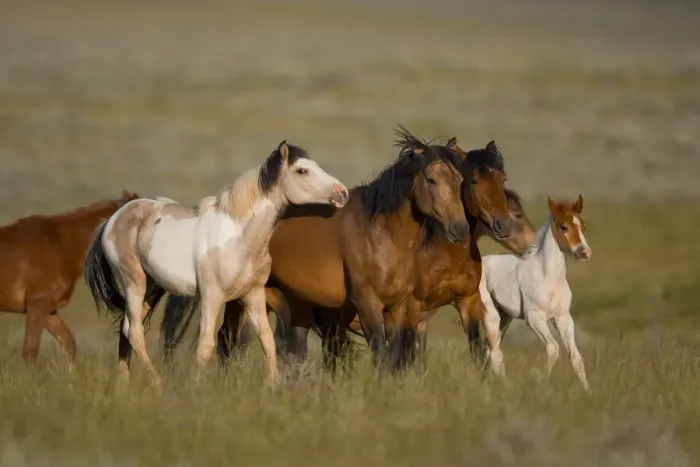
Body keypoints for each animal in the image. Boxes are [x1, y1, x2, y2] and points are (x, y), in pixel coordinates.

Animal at [84, 140, 348, 388]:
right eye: (302, 170)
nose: (342, 192)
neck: (240, 237)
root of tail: (112, 219)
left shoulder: (253, 294)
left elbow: (267, 341)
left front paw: (272, 386)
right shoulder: (211, 297)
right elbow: (205, 345)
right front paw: (195, 388)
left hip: (151, 288)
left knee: (127, 329)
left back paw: (123, 386)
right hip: (134, 283)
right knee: (135, 332)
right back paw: (157, 384)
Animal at [162, 134, 517, 375]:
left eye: (459, 180)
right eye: (431, 179)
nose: (459, 228)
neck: (383, 235)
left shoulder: (406, 307)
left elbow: (405, 358)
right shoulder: (372, 303)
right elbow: (387, 356)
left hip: (293, 308)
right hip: (246, 302)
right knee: (230, 345)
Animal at [479, 195, 592, 393]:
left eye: (583, 226)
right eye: (564, 227)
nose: (585, 253)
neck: (549, 278)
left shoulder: (563, 318)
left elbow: (575, 356)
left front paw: (589, 392)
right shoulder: (534, 317)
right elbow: (553, 349)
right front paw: (542, 385)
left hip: (505, 317)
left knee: (489, 349)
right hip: (490, 315)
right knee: (495, 354)